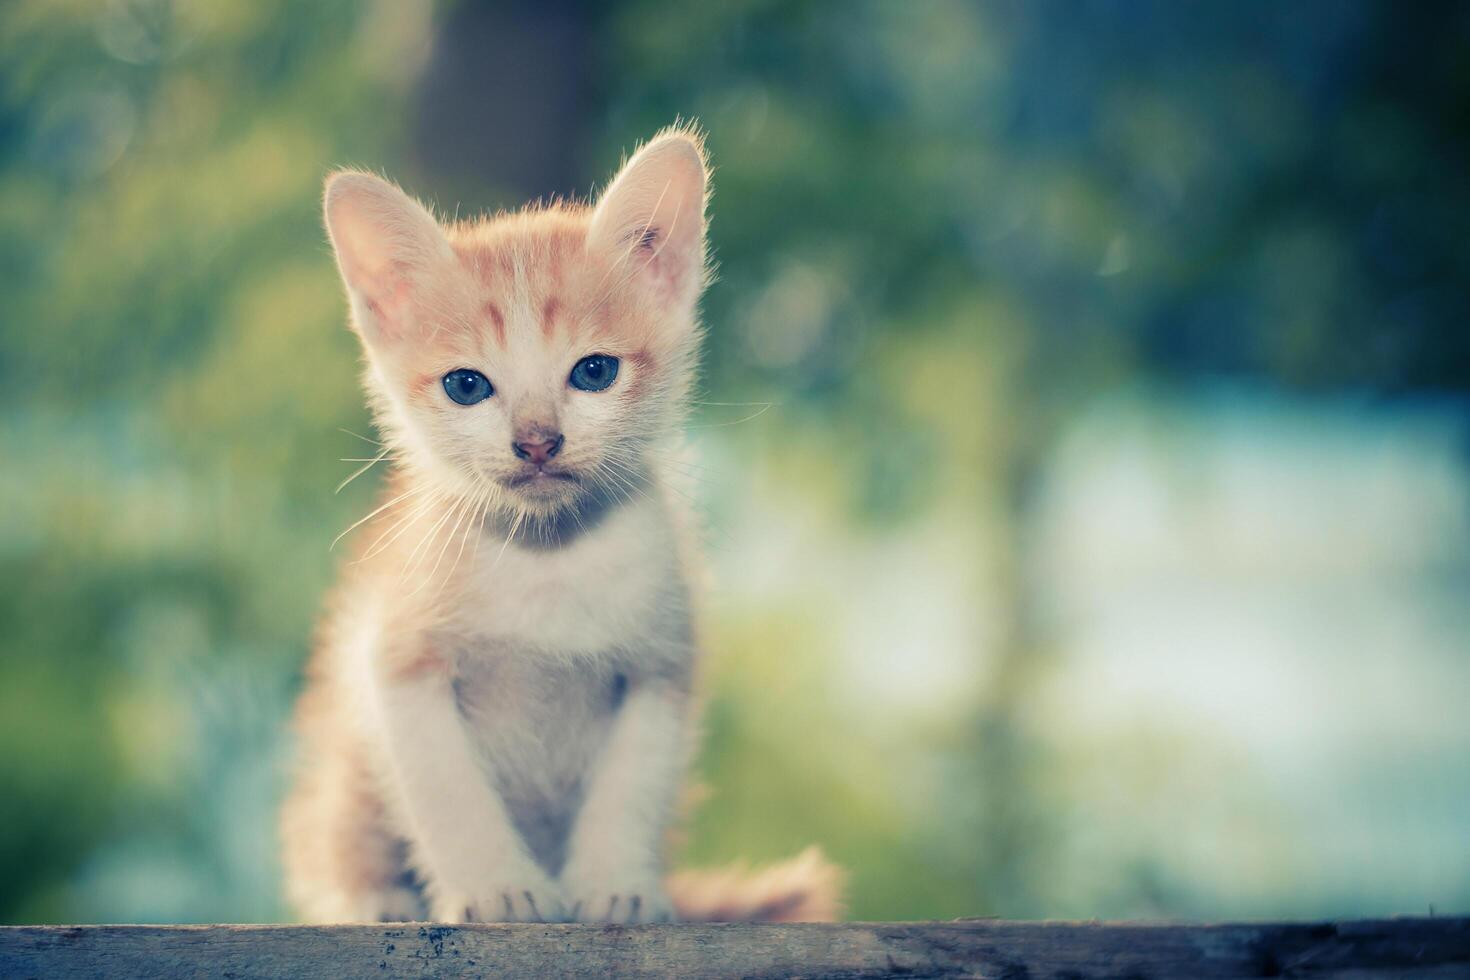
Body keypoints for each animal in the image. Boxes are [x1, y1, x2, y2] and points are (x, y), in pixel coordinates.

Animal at [280, 126, 846, 922]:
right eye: (466, 385)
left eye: (595, 372)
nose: (538, 440)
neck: (545, 559)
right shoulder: (396, 659)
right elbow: (446, 789)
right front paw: (497, 887)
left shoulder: (661, 661)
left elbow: (632, 785)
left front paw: (615, 886)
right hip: (341, 772)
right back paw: (376, 899)